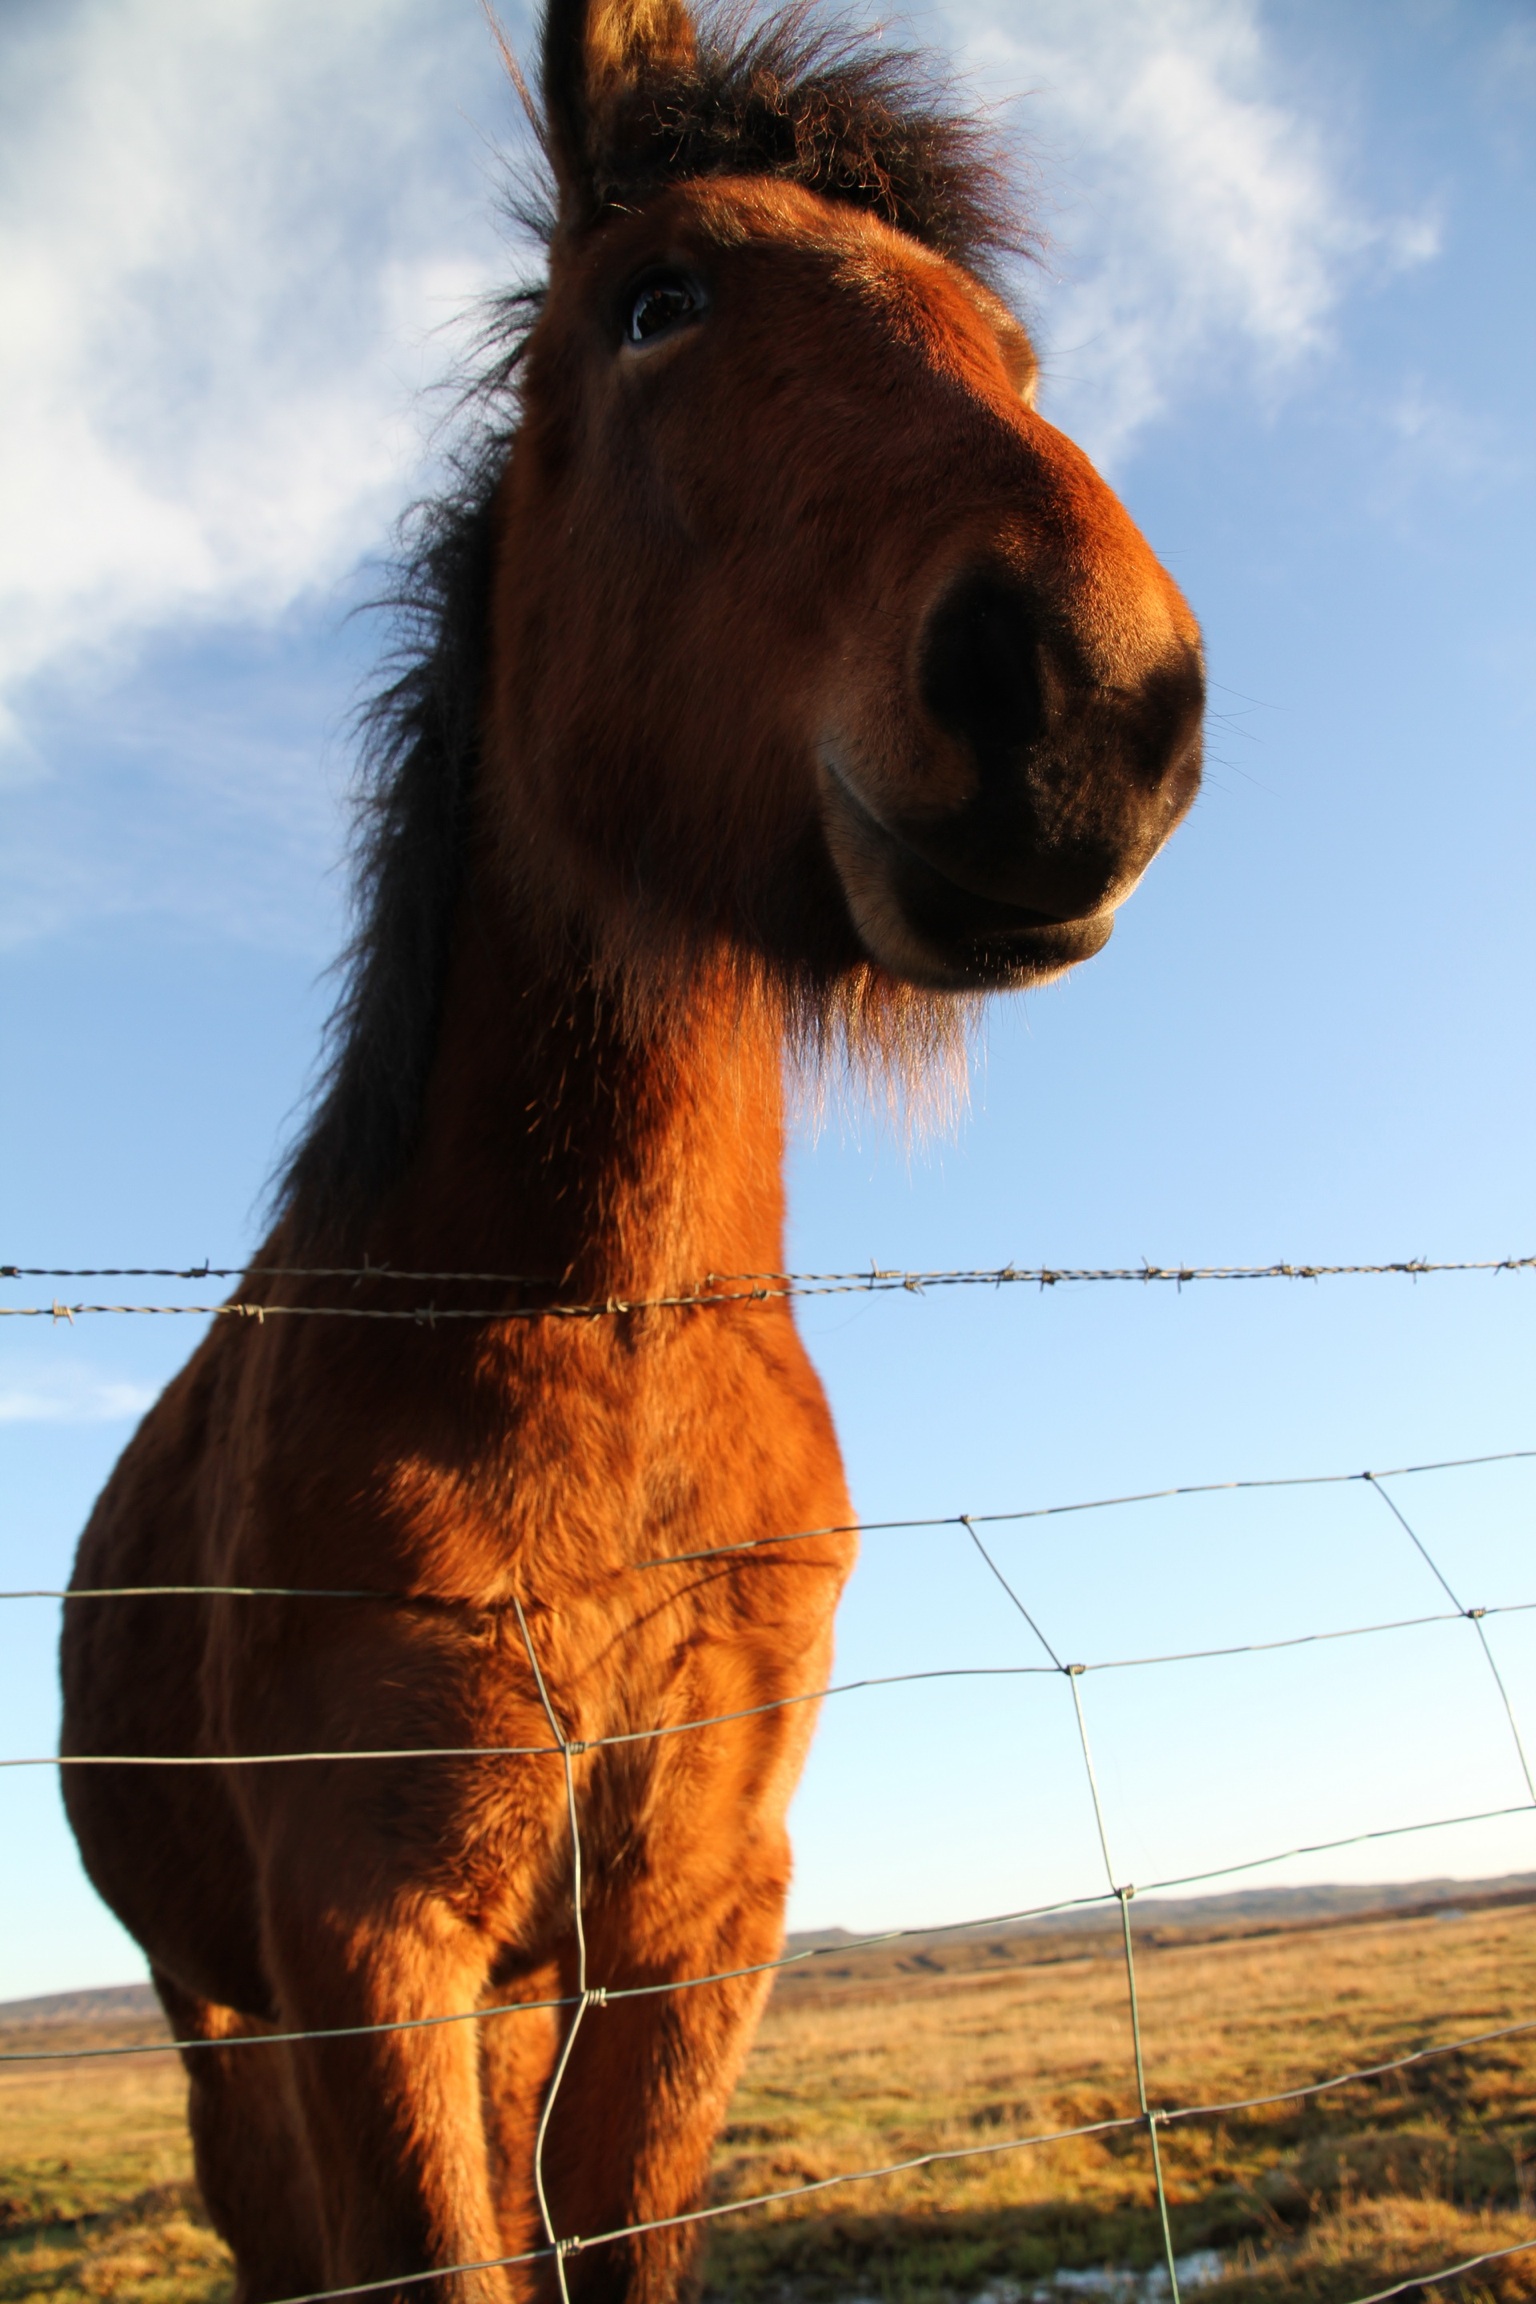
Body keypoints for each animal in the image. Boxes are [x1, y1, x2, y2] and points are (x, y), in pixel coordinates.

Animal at [63, 0, 1197, 2294]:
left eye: (1016, 356)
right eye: (659, 305)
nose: (1094, 697)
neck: (597, 1348)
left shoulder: (691, 1932)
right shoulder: (361, 1939)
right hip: (224, 2013)